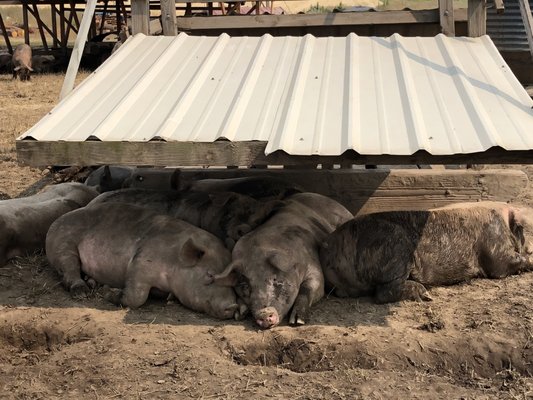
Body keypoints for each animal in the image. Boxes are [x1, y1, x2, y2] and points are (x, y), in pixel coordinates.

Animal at [209, 193, 354, 328]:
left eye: (275, 280)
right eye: (245, 286)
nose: (264, 313)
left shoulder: (313, 264)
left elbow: (309, 287)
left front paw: (297, 321)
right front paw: (240, 313)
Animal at [318, 206, 528, 304]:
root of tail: (329, 245)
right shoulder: (496, 251)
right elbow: (504, 265)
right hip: (397, 247)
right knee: (383, 292)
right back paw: (425, 294)